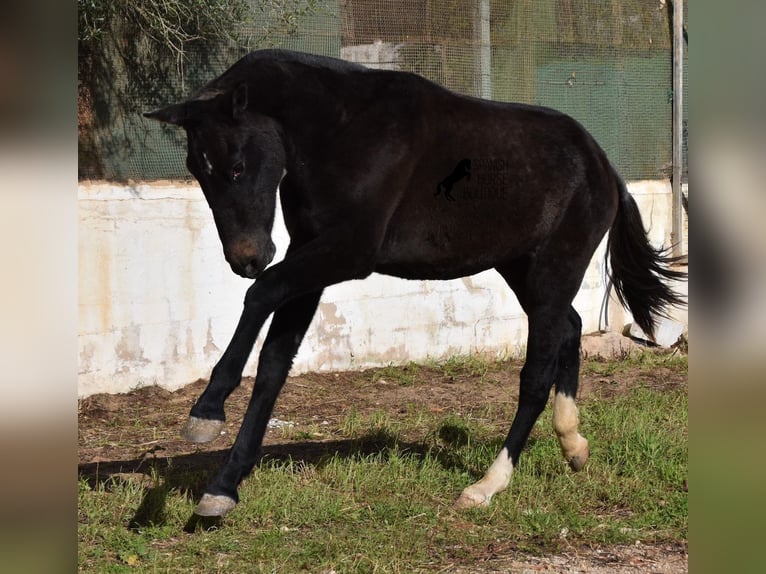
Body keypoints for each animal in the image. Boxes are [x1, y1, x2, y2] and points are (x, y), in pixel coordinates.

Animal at [146, 49, 688, 520]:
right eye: (197, 169)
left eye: (237, 166)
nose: (247, 258)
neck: (342, 132)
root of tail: (604, 165)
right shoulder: (310, 254)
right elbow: (275, 364)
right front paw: (222, 488)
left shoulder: (347, 253)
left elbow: (260, 296)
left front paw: (205, 413)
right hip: (524, 271)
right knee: (571, 329)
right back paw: (574, 447)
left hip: (555, 268)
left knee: (535, 376)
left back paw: (487, 486)